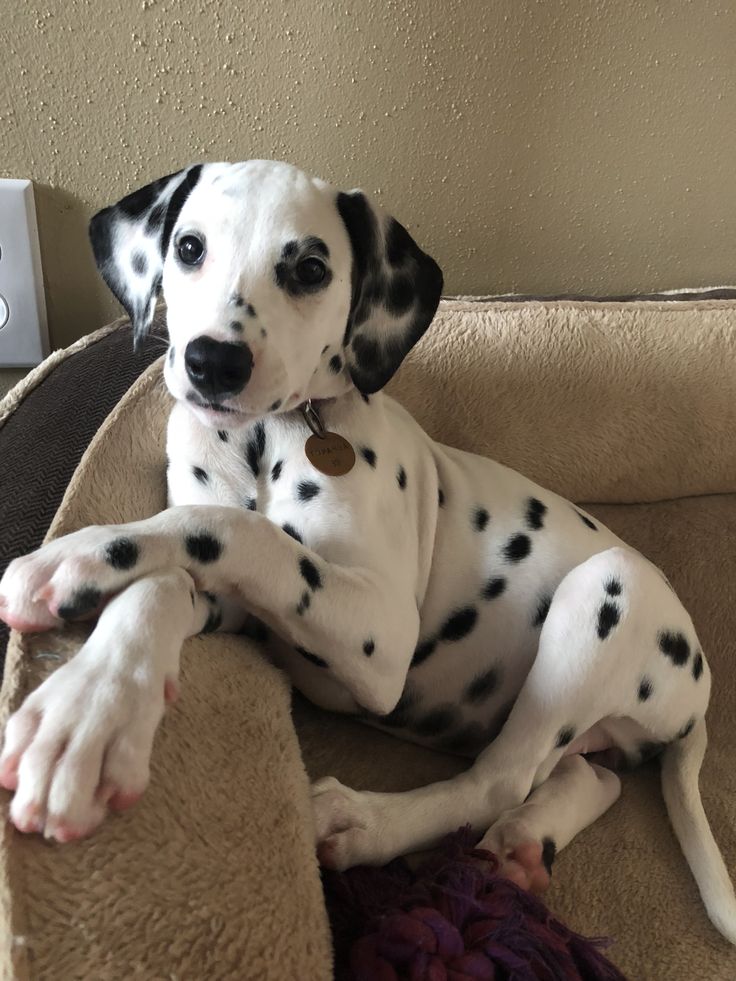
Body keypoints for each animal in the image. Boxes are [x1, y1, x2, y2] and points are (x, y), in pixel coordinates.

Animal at [1, 159, 736, 940]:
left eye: (310, 268)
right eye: (190, 247)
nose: (212, 361)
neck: (263, 439)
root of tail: (698, 691)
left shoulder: (379, 636)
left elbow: (231, 529)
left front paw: (72, 555)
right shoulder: (247, 612)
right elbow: (174, 571)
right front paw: (87, 711)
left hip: (606, 588)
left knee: (499, 779)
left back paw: (363, 822)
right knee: (585, 775)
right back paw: (524, 843)